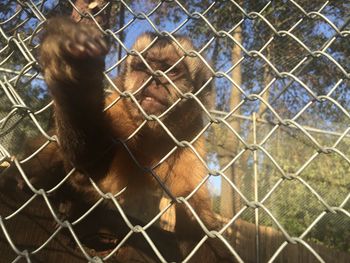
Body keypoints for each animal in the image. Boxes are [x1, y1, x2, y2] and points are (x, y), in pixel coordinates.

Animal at [1, 17, 235, 262]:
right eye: (142, 67)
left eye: (172, 71)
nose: (154, 79)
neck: (153, 131)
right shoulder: (121, 107)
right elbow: (84, 173)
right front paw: (75, 72)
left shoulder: (190, 137)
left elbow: (196, 230)